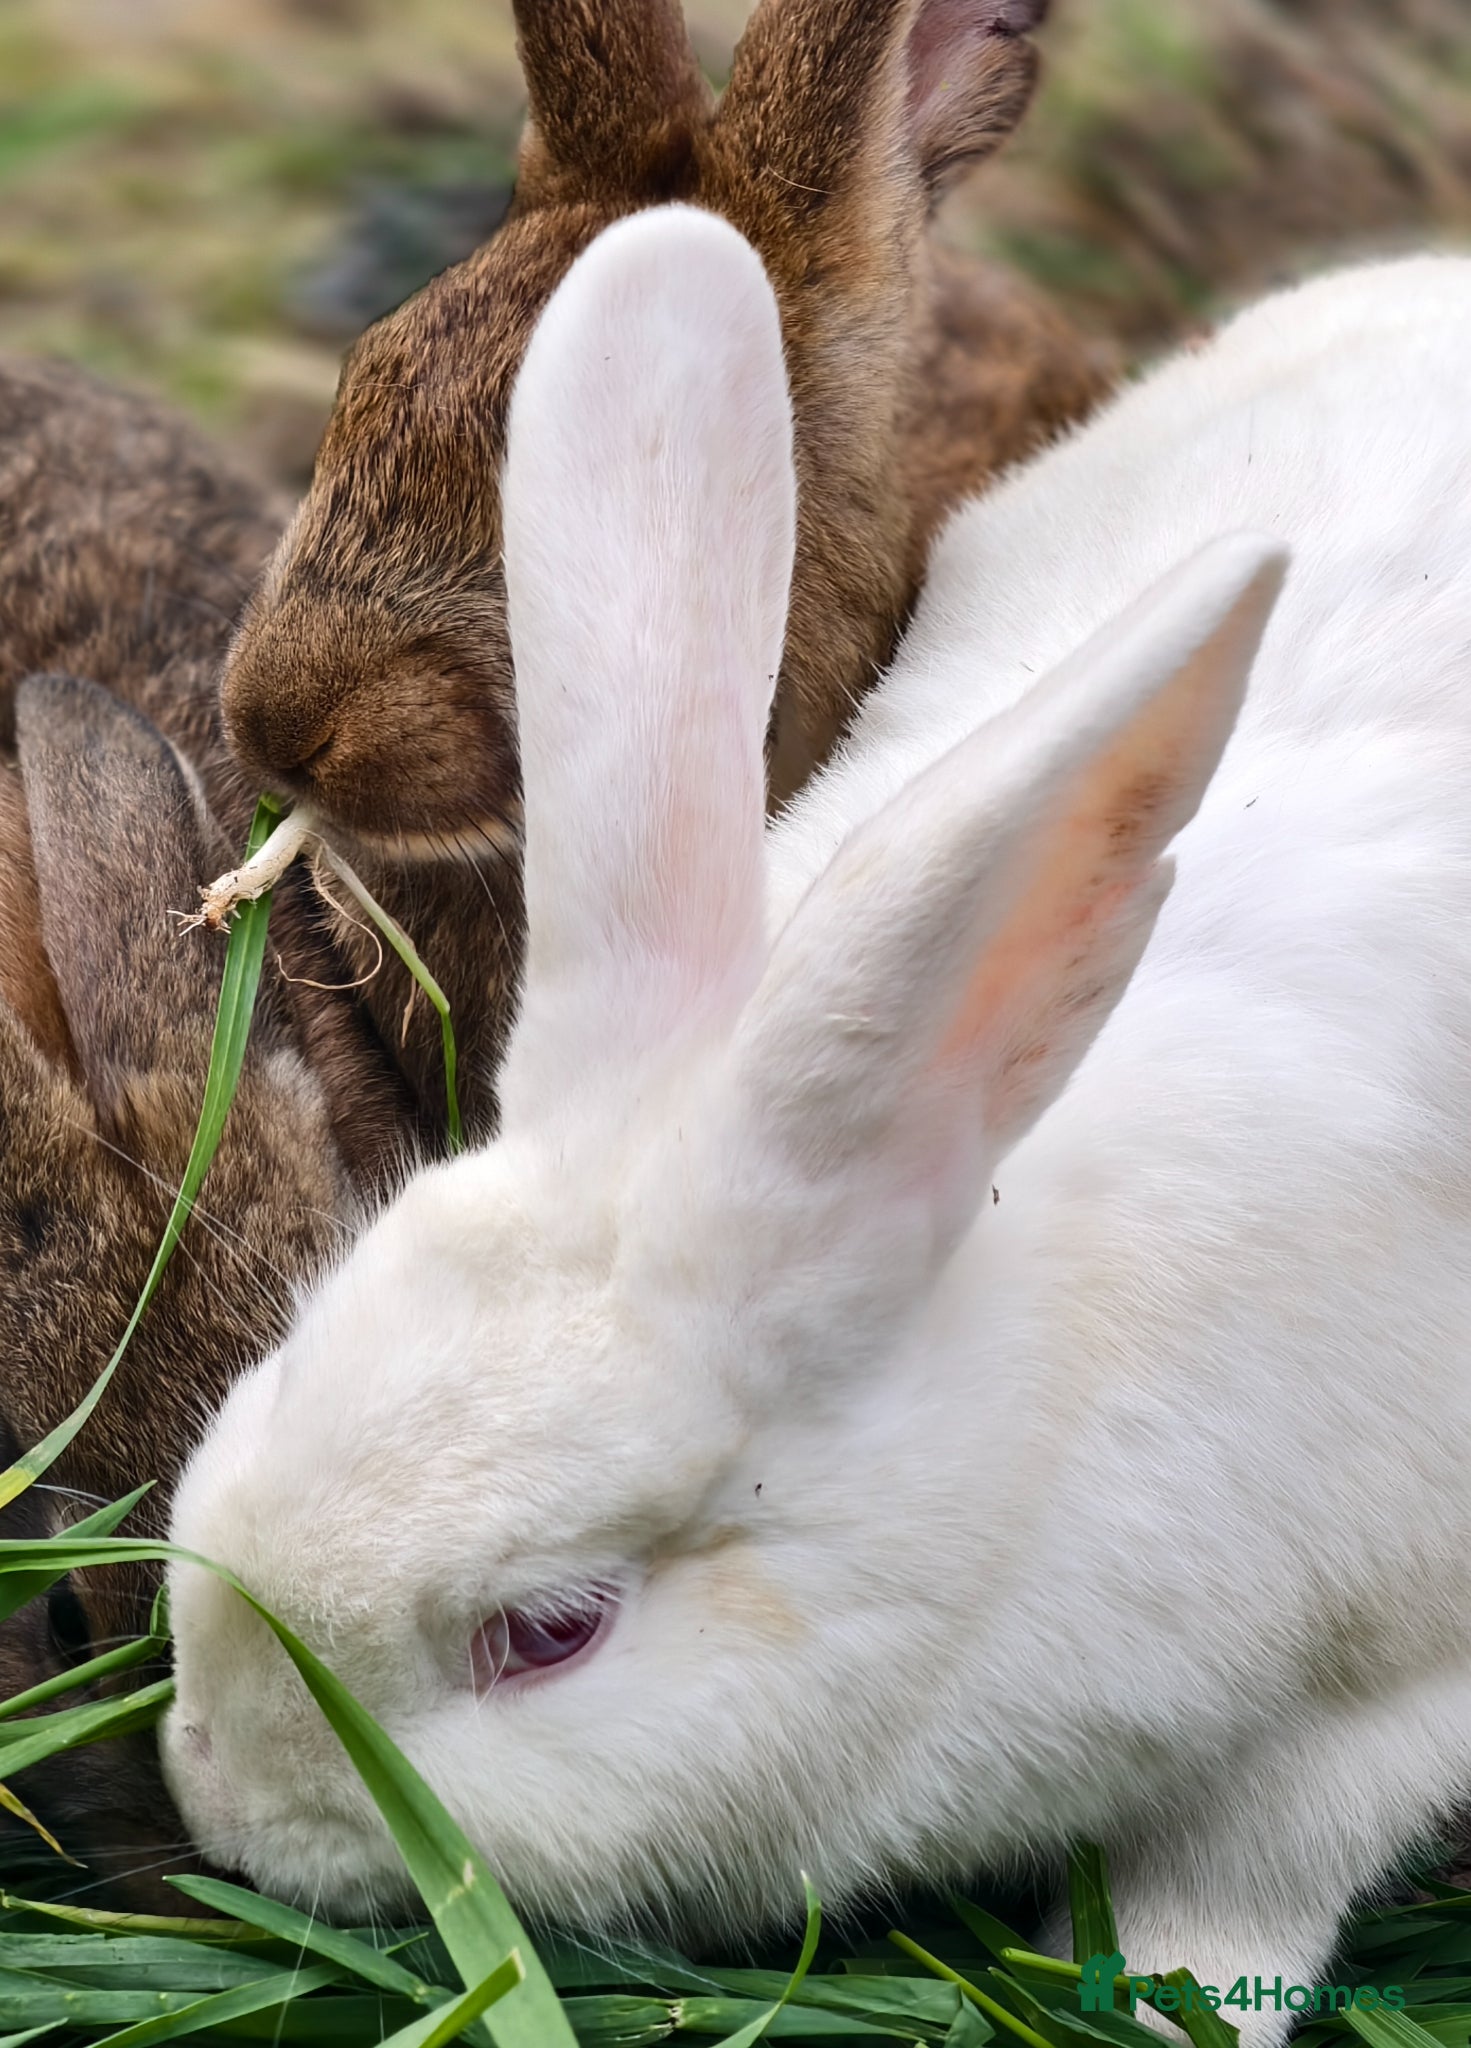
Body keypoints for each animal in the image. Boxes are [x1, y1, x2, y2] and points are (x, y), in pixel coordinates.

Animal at [161, 203, 1471, 2039]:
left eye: (548, 1631)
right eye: (279, 1364)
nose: (213, 1786)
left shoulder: (1370, 1701)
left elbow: (1231, 1905)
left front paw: (1163, 2006)